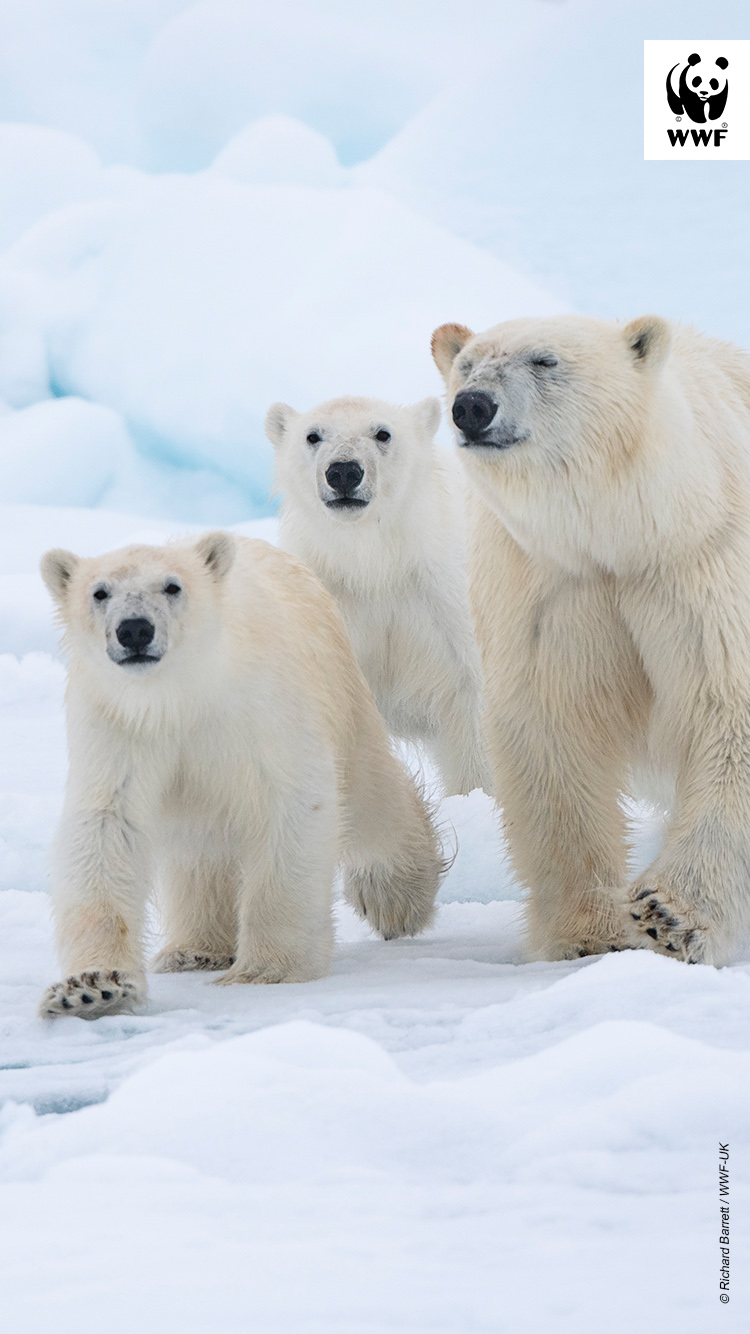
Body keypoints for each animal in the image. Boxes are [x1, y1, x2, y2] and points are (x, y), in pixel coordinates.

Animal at [36, 530, 443, 1019]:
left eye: (172, 586)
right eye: (99, 592)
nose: (134, 629)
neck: (179, 697)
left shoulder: (261, 709)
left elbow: (292, 804)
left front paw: (267, 969)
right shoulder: (119, 727)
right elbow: (105, 830)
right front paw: (91, 989)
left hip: (341, 687)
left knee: (369, 796)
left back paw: (396, 897)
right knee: (200, 849)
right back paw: (195, 949)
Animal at [266, 389, 491, 795]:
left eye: (383, 433)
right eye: (312, 435)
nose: (343, 471)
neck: (375, 566)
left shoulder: (445, 604)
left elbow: (473, 708)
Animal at [429, 310, 747, 965]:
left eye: (545, 360)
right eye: (467, 365)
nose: (473, 406)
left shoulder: (701, 566)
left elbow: (725, 710)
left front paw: (670, 915)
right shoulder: (550, 591)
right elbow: (554, 732)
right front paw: (590, 931)